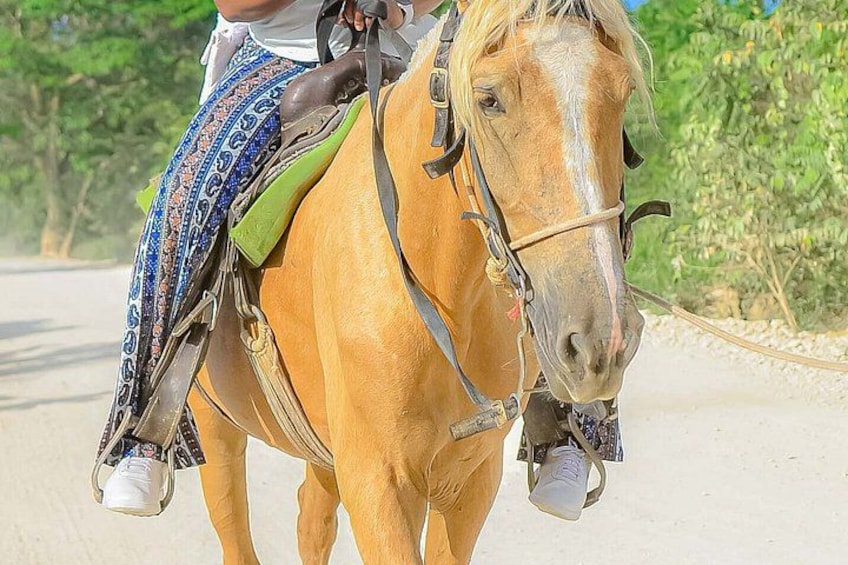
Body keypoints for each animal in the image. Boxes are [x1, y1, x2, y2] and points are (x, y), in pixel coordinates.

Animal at [191, 0, 651, 562]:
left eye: (622, 92)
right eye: (489, 99)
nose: (600, 341)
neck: (440, 296)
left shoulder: (470, 480)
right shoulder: (379, 484)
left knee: (312, 519)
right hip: (213, 425)